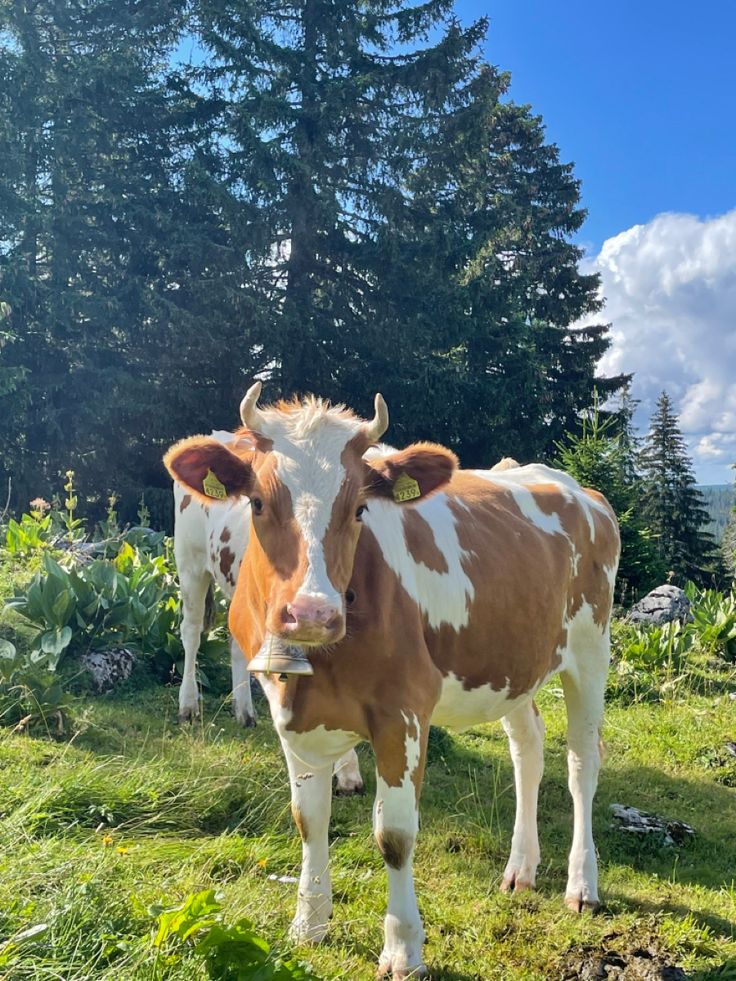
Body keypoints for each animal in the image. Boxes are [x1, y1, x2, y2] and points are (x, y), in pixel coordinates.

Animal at [164, 384, 620, 980]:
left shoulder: (403, 713)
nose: (312, 613)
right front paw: (308, 923)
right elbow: (309, 820)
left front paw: (403, 948)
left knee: (582, 763)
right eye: (257, 503)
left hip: (591, 650)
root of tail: (577, 488)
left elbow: (395, 836)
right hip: (511, 663)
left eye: (360, 507)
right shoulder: (291, 714)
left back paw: (582, 884)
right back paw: (521, 868)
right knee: (529, 746)